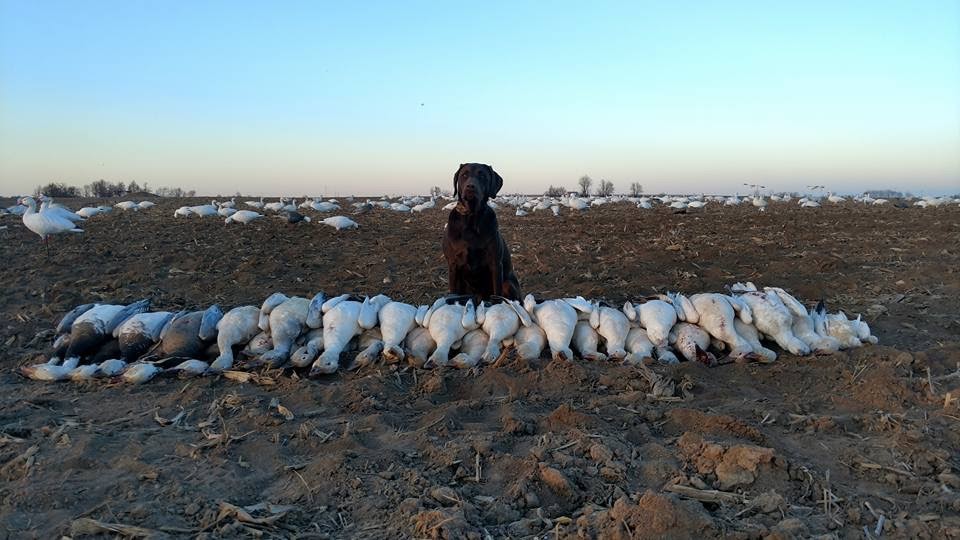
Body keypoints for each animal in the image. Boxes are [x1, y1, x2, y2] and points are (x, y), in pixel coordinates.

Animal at [444, 162, 520, 302]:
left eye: (483, 176)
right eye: (464, 175)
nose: (470, 187)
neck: (472, 217)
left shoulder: (495, 263)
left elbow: (497, 293)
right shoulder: (453, 265)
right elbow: (453, 292)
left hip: (508, 284)